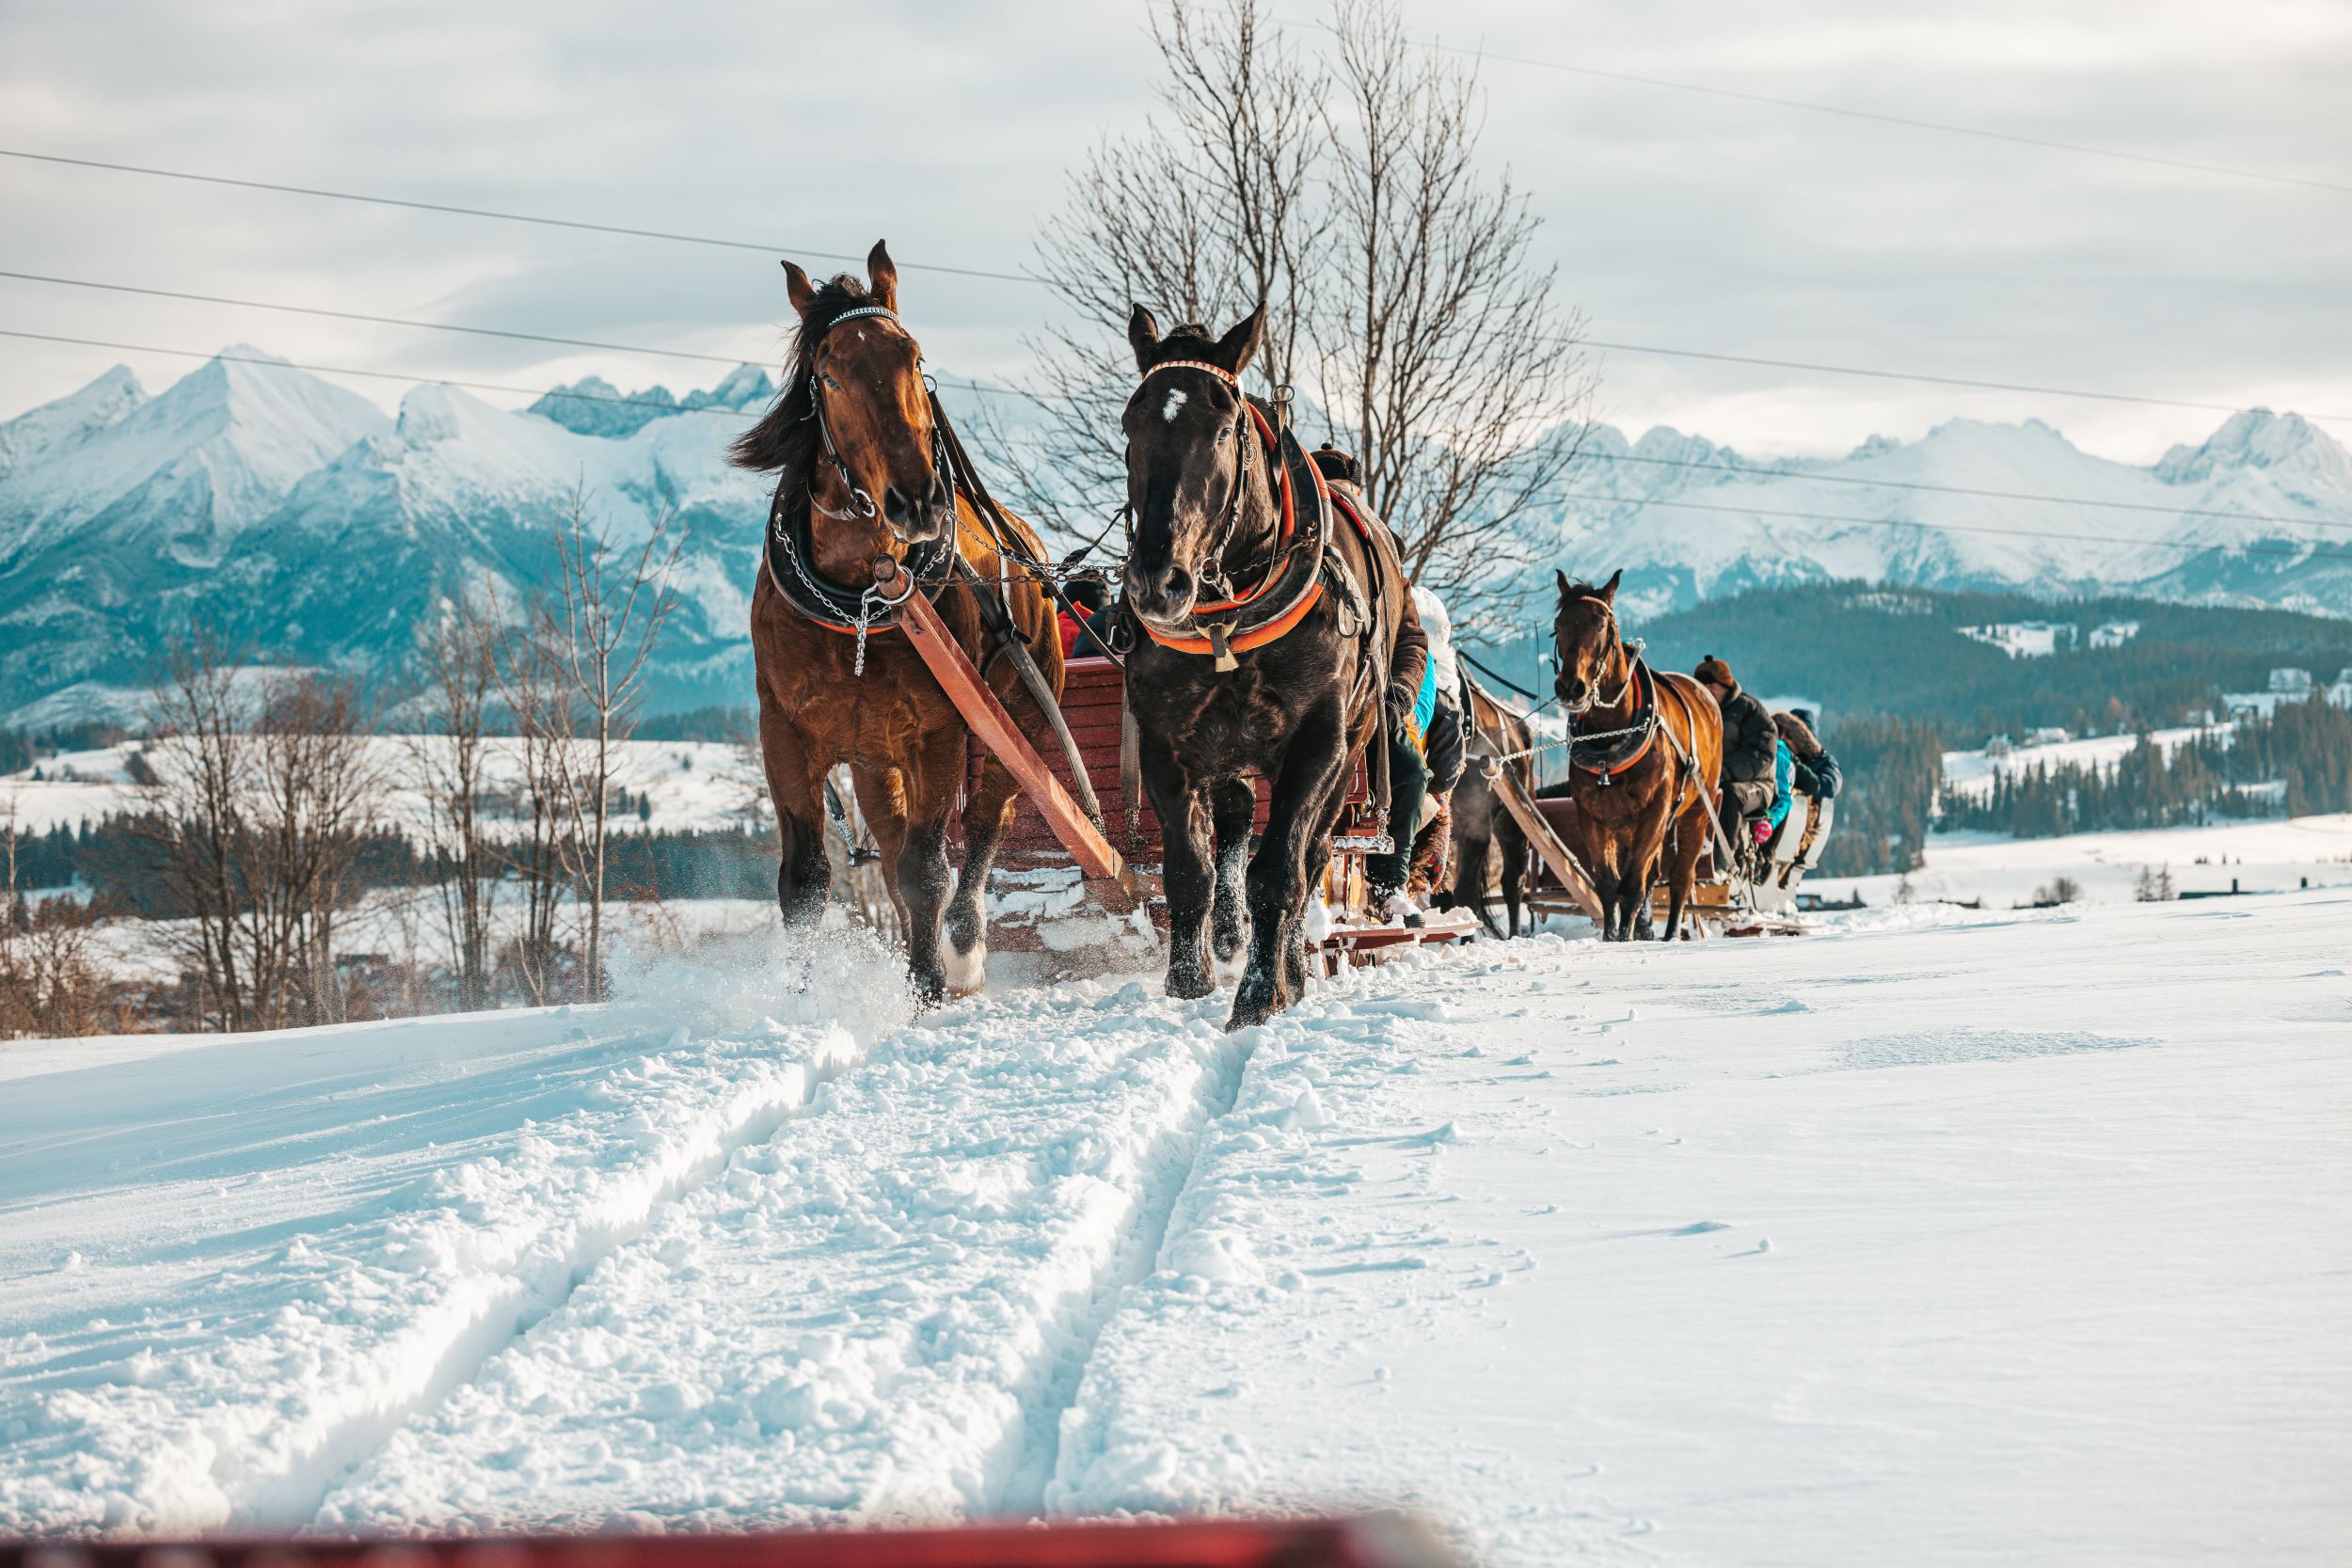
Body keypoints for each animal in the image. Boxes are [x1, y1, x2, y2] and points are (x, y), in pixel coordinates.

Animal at [729, 245, 1073, 1006]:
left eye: (912, 358)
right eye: (828, 373)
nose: (915, 500)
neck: (856, 601)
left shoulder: (939, 732)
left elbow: (927, 871)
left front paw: (929, 987)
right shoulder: (785, 733)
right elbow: (806, 881)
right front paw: (796, 1001)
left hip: (1016, 724)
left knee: (985, 827)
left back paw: (964, 948)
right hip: (872, 757)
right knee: (889, 848)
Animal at [1115, 305, 1411, 1029]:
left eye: (1224, 427)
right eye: (1132, 423)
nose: (1156, 582)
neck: (1230, 615)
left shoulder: (1317, 743)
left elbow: (1279, 872)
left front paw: (1259, 995)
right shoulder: (1166, 744)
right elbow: (1189, 871)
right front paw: (1189, 982)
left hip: (1350, 749)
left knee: (1310, 855)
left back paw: (1291, 970)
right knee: (1232, 827)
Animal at [1543, 571, 1731, 940]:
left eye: (1602, 625)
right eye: (1558, 625)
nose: (1571, 687)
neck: (1611, 736)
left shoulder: (1654, 812)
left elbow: (1632, 884)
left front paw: (1625, 937)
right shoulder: (1592, 815)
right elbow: (1608, 884)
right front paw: (1612, 935)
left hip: (1695, 812)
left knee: (1681, 877)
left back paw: (1670, 933)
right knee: (1652, 874)